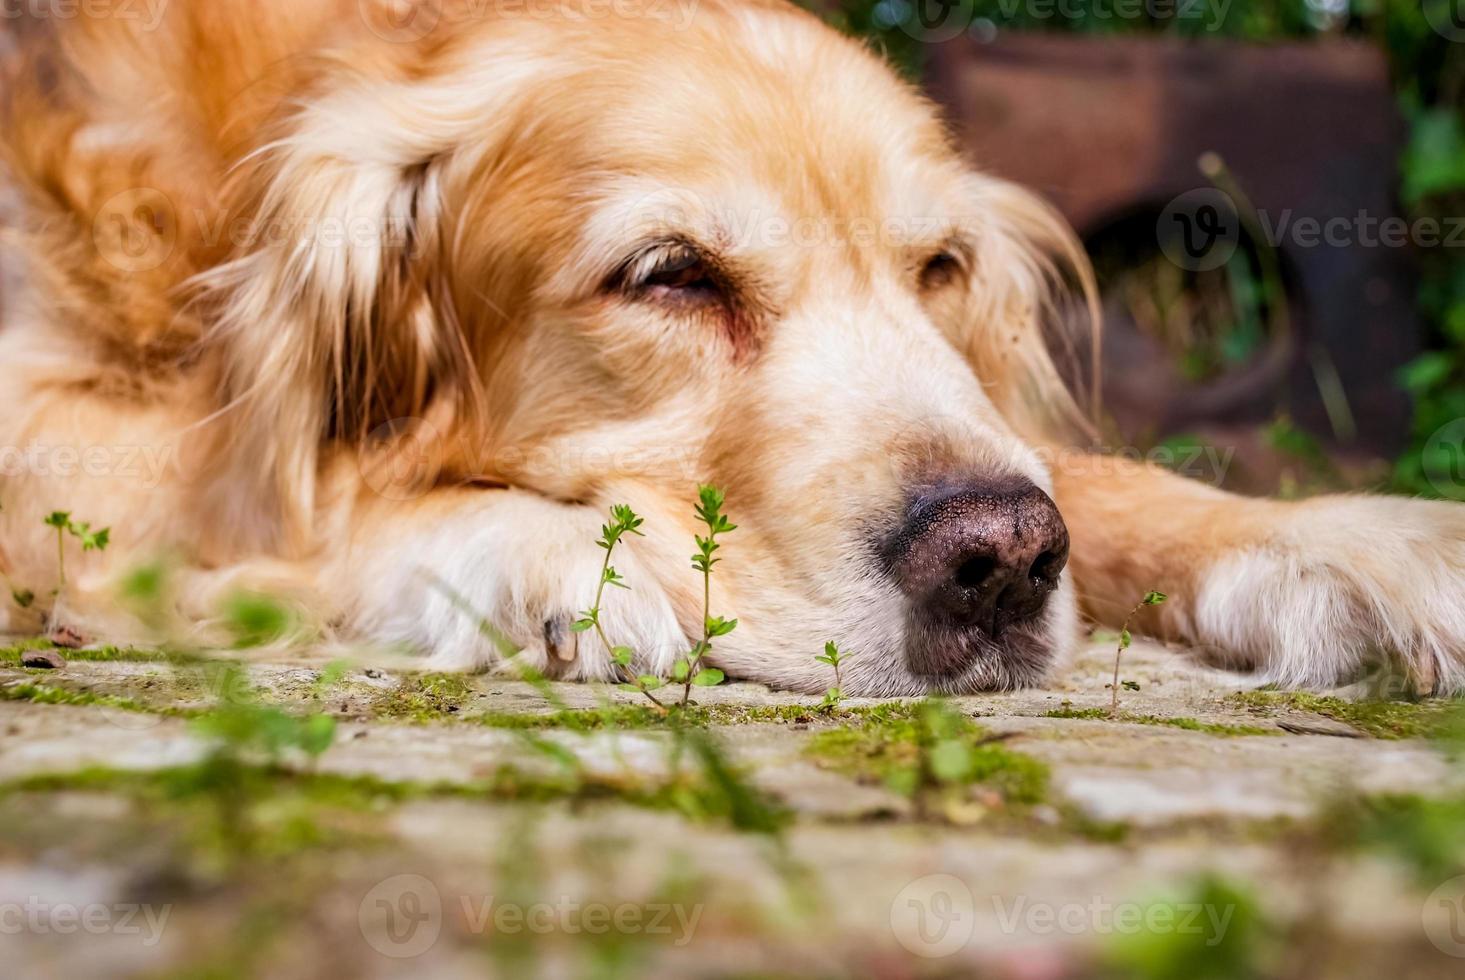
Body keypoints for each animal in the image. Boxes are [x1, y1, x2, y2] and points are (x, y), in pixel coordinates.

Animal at [0, 0, 1459, 694]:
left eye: (938, 269)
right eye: (670, 277)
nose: (999, 561)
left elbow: (1085, 475)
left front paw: (1342, 540)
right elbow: (325, 496)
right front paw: (570, 556)